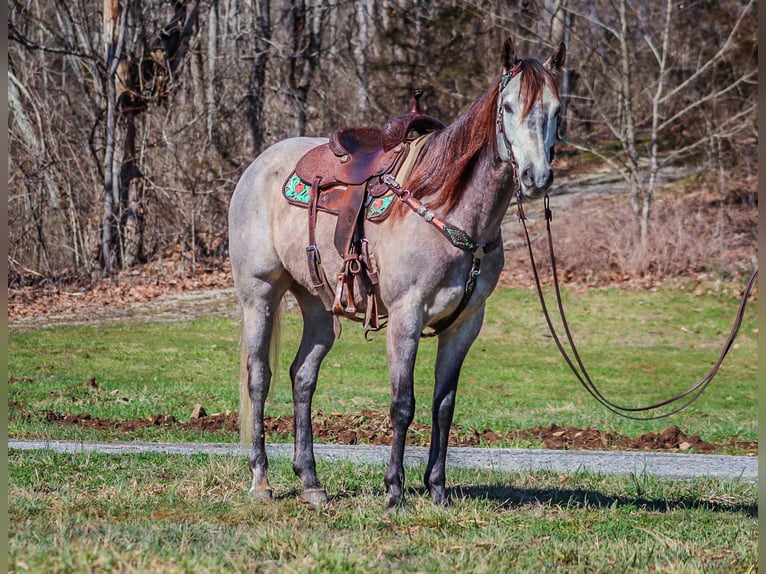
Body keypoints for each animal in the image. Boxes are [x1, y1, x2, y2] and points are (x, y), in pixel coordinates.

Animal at [228, 38, 564, 510]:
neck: (446, 206)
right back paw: (261, 481)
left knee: (303, 377)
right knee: (259, 378)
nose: (536, 177)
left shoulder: (465, 324)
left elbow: (444, 406)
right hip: (259, 295)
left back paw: (311, 482)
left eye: (556, 109)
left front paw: (438, 490)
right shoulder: (406, 315)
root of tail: (258, 165)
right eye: (509, 106)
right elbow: (403, 404)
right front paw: (395, 492)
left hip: (318, 302)